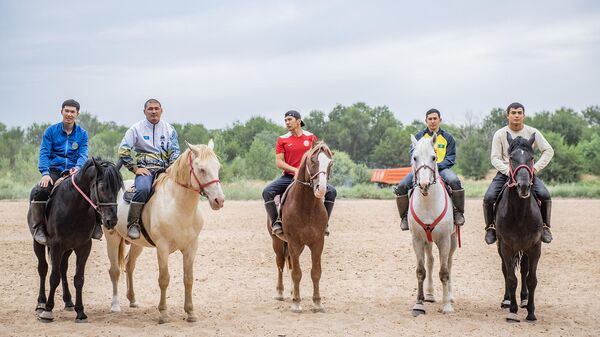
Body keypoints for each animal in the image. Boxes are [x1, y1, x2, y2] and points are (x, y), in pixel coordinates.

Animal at [28, 157, 123, 320]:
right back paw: (41, 304)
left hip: (68, 249)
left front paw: (80, 311)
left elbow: (79, 279)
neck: (73, 207)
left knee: (63, 269)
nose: (111, 221)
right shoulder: (56, 245)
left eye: (117, 188)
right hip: (39, 243)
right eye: (102, 187)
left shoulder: (83, 246)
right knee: (43, 269)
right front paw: (48, 310)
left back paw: (68, 301)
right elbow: (54, 277)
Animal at [103, 140, 225, 322]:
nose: (219, 200)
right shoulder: (162, 247)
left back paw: (132, 300)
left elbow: (188, 279)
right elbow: (164, 279)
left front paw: (190, 312)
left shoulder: (191, 247)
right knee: (115, 271)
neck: (179, 207)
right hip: (112, 237)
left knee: (129, 265)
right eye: (202, 169)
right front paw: (163, 313)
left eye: (217, 167)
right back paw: (115, 305)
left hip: (137, 244)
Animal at [268, 142, 332, 312]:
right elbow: (297, 273)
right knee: (280, 264)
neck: (307, 207)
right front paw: (296, 303)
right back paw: (280, 293)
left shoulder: (317, 243)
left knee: (289, 264)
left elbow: (315, 272)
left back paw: (291, 292)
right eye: (313, 161)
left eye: (330, 163)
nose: (321, 188)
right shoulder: (294, 242)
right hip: (277, 242)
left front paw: (317, 302)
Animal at [408, 134, 460, 316]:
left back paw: (450, 296)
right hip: (428, 241)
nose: (424, 184)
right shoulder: (417, 240)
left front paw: (447, 306)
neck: (428, 203)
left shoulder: (444, 240)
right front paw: (419, 304)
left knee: (449, 264)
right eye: (414, 157)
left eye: (434, 157)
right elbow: (420, 271)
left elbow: (444, 272)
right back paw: (429, 295)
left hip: (452, 240)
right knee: (430, 261)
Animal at [494, 133, 548, 322]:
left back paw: (524, 299)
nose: (523, 186)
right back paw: (507, 300)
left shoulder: (535, 247)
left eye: (531, 158)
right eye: (511, 158)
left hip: (525, 248)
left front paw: (531, 312)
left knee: (524, 270)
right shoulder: (506, 247)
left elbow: (531, 279)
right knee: (505, 270)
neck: (519, 214)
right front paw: (513, 310)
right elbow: (511, 278)